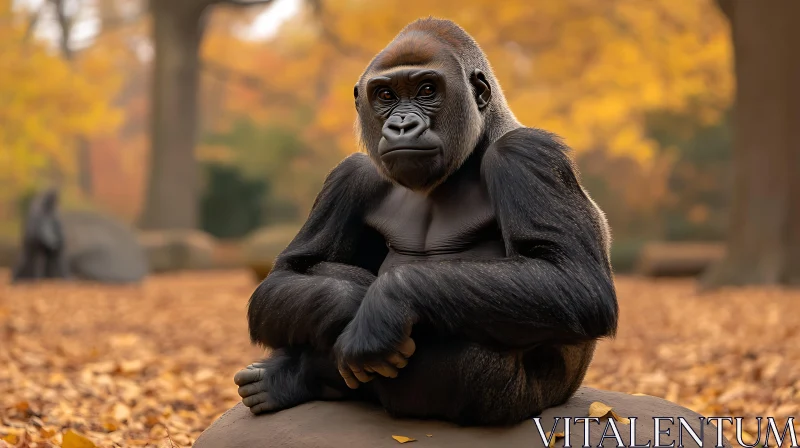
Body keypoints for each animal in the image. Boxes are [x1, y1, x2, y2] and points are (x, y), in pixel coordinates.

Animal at [233, 16, 620, 424]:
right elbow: (283, 276)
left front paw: (382, 308)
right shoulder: (352, 175)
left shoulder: (527, 154)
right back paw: (291, 376)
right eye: (385, 96)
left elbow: (576, 282)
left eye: (427, 90)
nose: (402, 125)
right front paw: (350, 302)